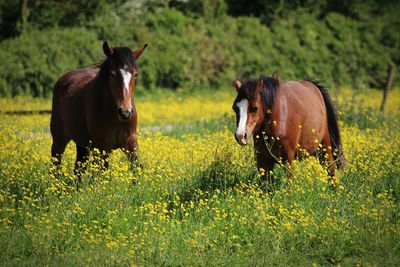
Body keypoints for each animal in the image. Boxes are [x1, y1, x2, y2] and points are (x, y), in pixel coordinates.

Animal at [50, 41, 148, 182]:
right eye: (112, 74)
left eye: (135, 74)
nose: (125, 112)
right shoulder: (101, 148)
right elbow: (100, 176)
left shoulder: (131, 143)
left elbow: (136, 170)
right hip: (59, 140)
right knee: (55, 166)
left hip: (83, 144)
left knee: (78, 170)